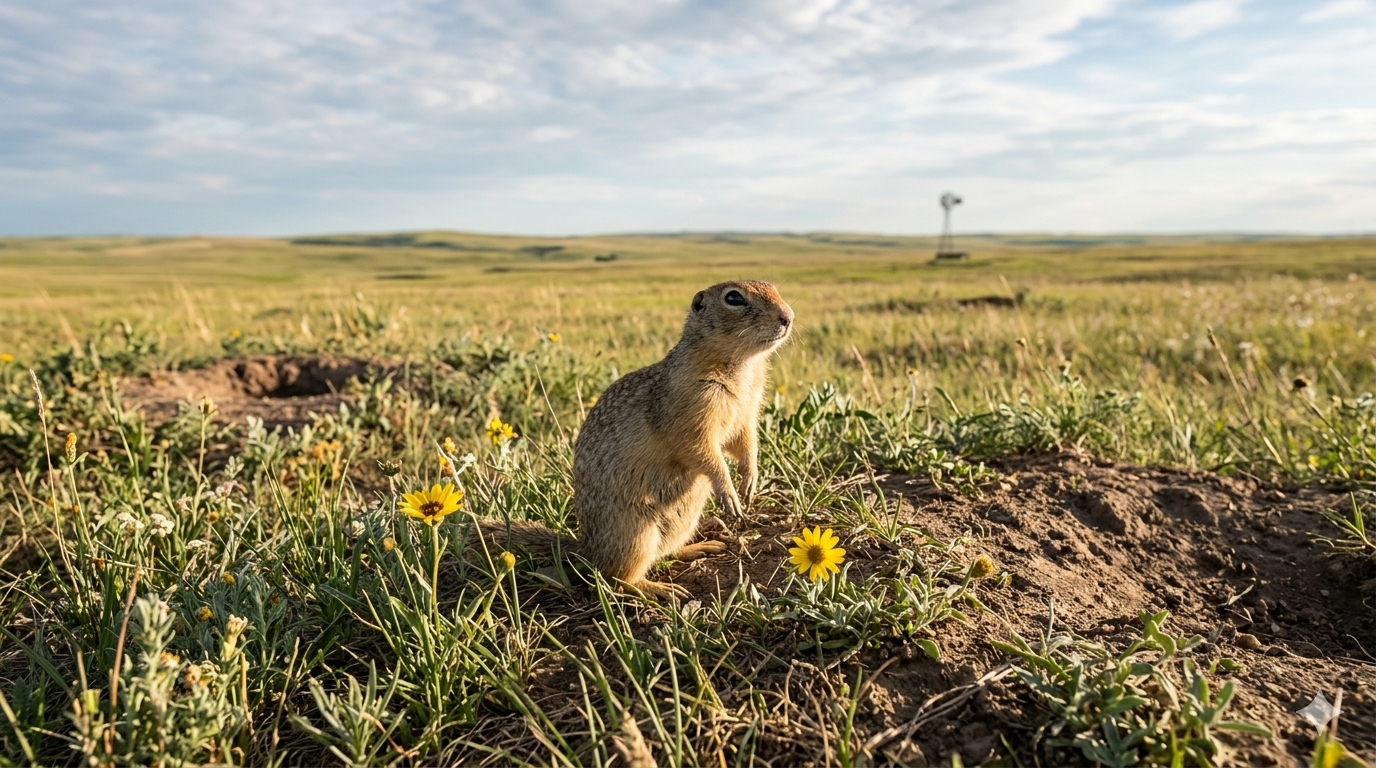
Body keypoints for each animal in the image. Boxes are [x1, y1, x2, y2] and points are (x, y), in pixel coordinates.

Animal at [478, 280, 794, 598]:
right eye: (734, 298)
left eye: (774, 287)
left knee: (665, 552)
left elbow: (746, 443)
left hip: (680, 523)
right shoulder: (691, 417)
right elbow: (702, 452)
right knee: (617, 578)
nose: (788, 317)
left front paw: (749, 481)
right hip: (634, 534)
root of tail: (586, 549)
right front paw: (729, 494)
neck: (742, 367)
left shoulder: (746, 414)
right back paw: (660, 588)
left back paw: (703, 547)